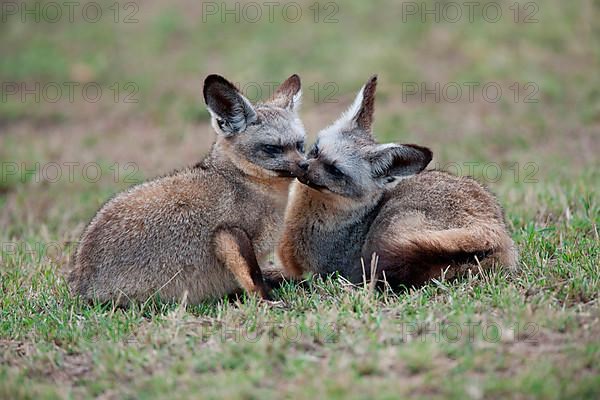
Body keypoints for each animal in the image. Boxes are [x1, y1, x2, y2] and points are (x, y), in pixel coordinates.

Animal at [68, 73, 308, 304]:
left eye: (300, 145)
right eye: (272, 148)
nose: (305, 165)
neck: (239, 181)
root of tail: (79, 285)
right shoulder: (228, 233)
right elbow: (254, 277)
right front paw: (270, 302)